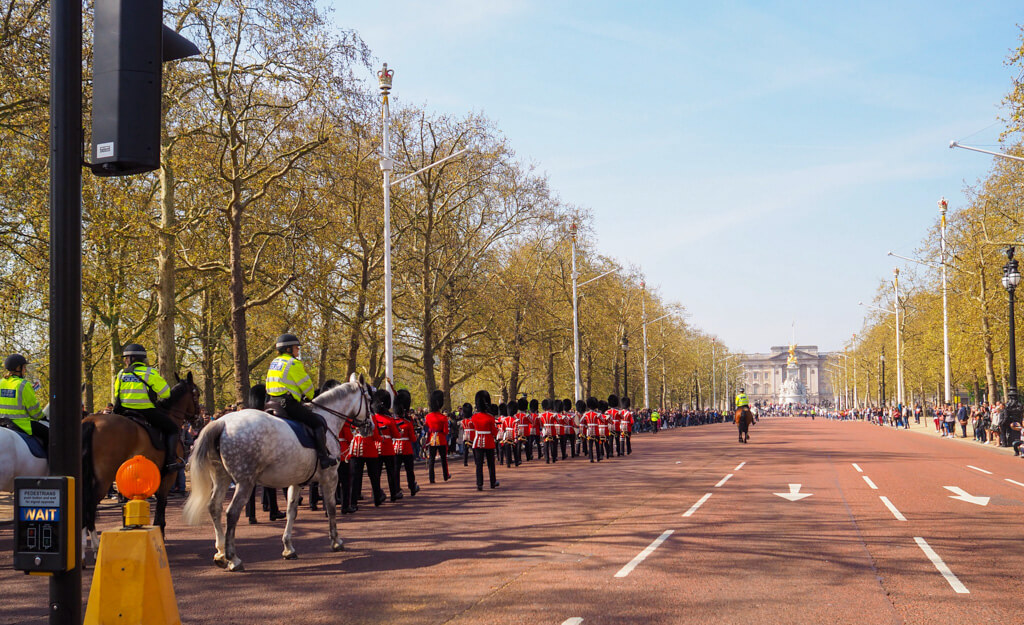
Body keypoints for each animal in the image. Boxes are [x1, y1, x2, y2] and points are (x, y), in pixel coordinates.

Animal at [81, 368, 201, 549]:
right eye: (197, 394)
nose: (199, 419)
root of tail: (92, 420)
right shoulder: (168, 476)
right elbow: (161, 508)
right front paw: (160, 536)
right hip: (104, 479)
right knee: (89, 506)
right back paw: (95, 546)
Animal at [185, 372, 376, 565]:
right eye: (369, 399)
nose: (370, 427)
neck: (328, 420)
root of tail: (222, 423)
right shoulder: (330, 477)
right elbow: (331, 508)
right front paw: (336, 541)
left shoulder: (297, 481)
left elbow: (292, 511)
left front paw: (288, 547)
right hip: (245, 482)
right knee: (232, 513)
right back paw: (233, 558)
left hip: (221, 478)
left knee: (214, 507)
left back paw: (220, 552)